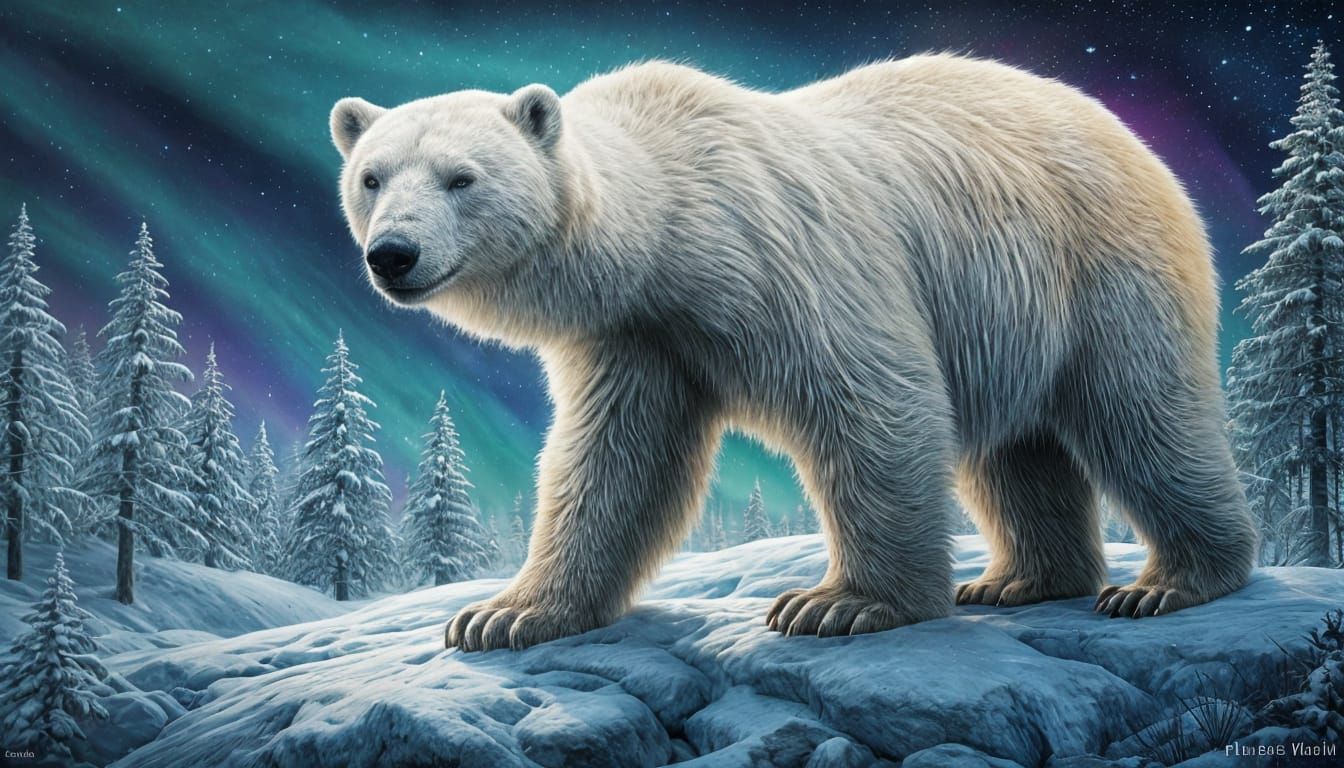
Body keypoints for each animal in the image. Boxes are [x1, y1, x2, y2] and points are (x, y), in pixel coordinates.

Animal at [329, 54, 1257, 652]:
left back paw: (1170, 580)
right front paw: (504, 615)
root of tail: (1126, 133)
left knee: (1143, 416)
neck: (665, 232)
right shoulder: (636, 335)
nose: (393, 254)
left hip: (1097, 269)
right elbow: (613, 462)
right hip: (1006, 319)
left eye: (461, 178)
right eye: (373, 176)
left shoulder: (777, 259)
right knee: (1014, 452)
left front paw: (838, 604)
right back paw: (1019, 579)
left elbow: (871, 399)